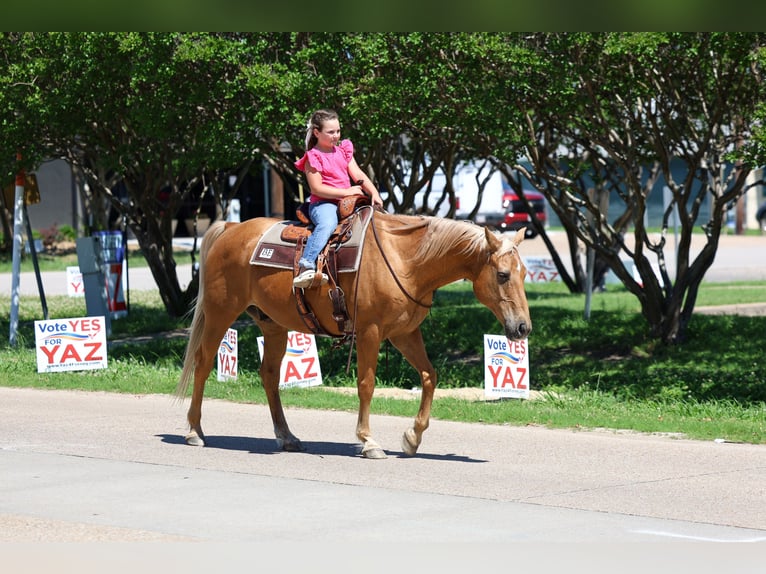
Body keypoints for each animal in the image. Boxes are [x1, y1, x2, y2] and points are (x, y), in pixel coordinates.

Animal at [175, 210, 531, 459]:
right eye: (502, 275)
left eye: (525, 272)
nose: (523, 327)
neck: (407, 261)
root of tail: (230, 228)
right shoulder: (370, 332)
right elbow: (367, 384)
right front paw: (368, 441)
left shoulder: (405, 333)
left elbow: (430, 376)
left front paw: (412, 438)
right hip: (221, 312)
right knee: (203, 363)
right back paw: (194, 430)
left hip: (273, 325)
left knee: (270, 375)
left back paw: (287, 436)